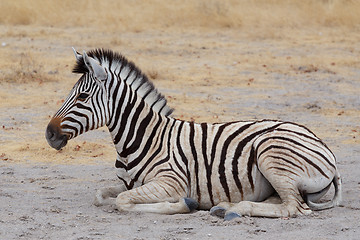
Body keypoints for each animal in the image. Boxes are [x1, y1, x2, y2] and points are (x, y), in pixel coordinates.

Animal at [46, 48, 342, 219]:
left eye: (82, 97)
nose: (49, 134)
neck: (143, 137)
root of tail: (323, 145)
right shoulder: (130, 183)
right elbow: (101, 195)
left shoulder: (171, 182)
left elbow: (122, 201)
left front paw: (183, 205)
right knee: (283, 201)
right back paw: (225, 207)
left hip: (272, 155)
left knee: (293, 207)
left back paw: (233, 210)